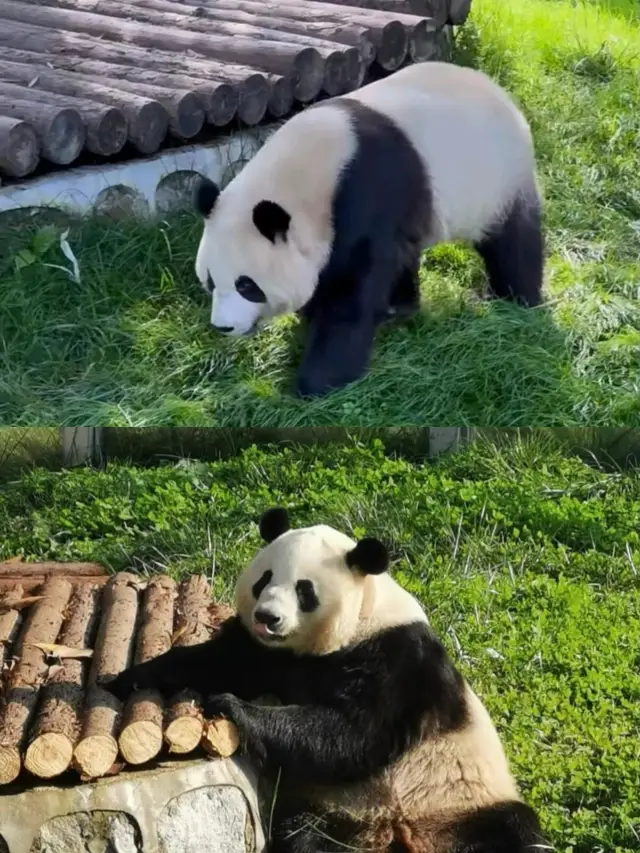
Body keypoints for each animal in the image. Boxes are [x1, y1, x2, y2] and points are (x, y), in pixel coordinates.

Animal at [104, 506, 544, 852]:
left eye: (304, 590)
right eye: (264, 579)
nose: (267, 618)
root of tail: (393, 836)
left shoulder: (397, 658)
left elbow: (354, 731)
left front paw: (231, 706)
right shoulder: (262, 652)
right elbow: (215, 662)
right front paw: (124, 679)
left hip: (457, 802)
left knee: (514, 831)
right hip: (336, 811)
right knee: (305, 836)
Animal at [192, 61, 544, 398]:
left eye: (247, 285)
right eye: (209, 281)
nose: (222, 327)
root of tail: (497, 90)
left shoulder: (366, 194)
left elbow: (352, 290)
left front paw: (320, 380)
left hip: (496, 178)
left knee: (512, 241)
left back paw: (516, 299)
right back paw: (400, 306)